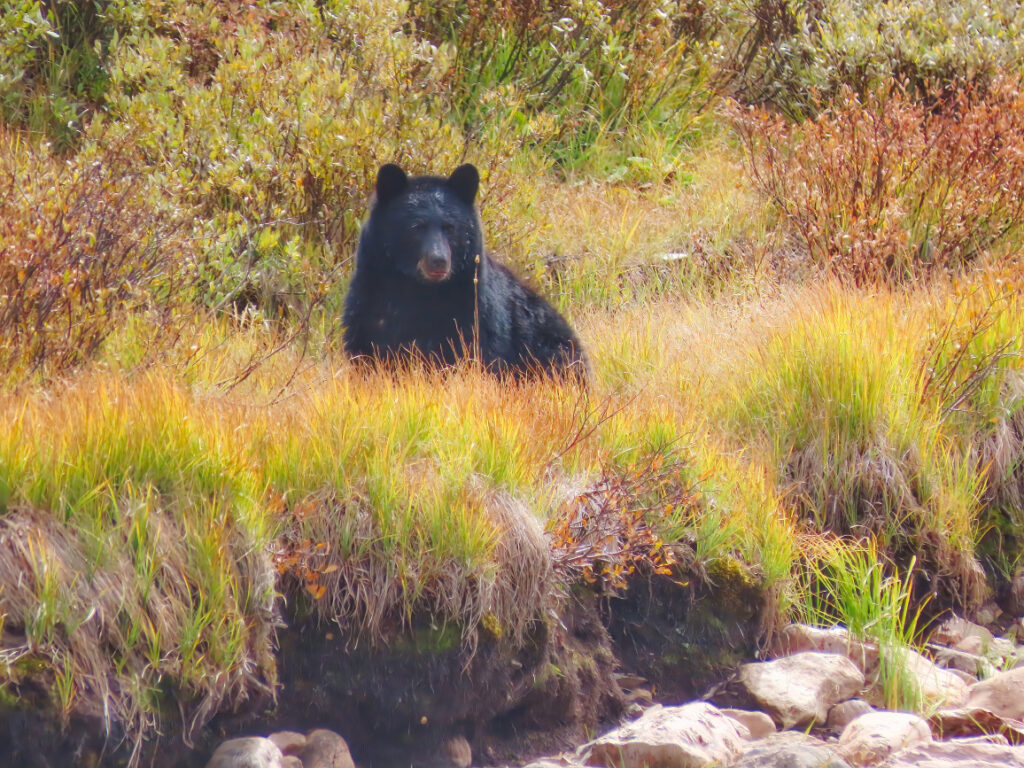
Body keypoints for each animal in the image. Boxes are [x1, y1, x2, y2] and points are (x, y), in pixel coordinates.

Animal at [342, 163, 589, 380]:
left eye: (450, 227)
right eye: (416, 227)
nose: (439, 261)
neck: (419, 290)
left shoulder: (472, 308)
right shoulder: (370, 299)